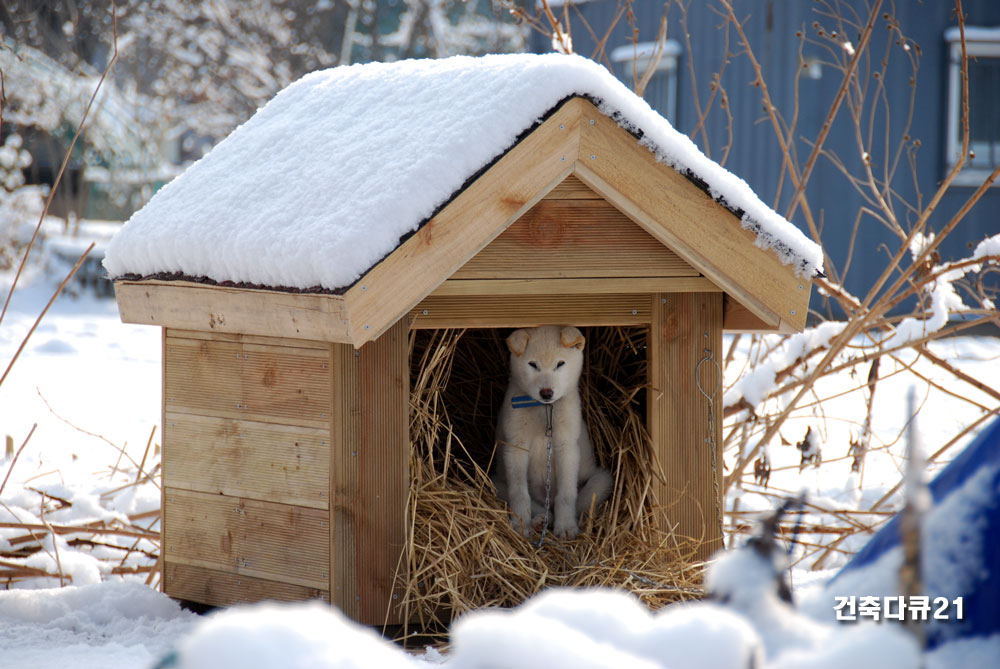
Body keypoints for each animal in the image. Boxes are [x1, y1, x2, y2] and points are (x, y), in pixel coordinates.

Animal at [490, 324, 608, 536]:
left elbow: (567, 494)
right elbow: (519, 493)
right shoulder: (516, 447)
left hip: (601, 479)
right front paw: (521, 524)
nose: (546, 393)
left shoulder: (566, 447)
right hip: (496, 483)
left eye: (560, 364)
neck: (543, 409)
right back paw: (539, 519)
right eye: (532, 365)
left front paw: (566, 526)